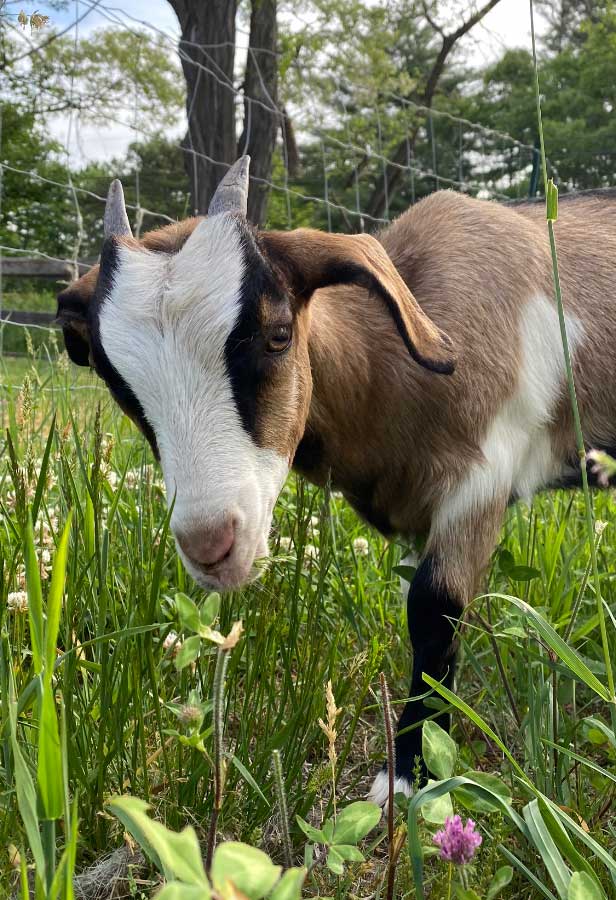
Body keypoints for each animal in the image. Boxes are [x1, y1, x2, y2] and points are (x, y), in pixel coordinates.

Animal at [56, 156, 616, 800]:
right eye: (116, 382)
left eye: (277, 336)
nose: (212, 546)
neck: (392, 360)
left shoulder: (480, 479)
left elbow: (433, 608)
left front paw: (407, 774)